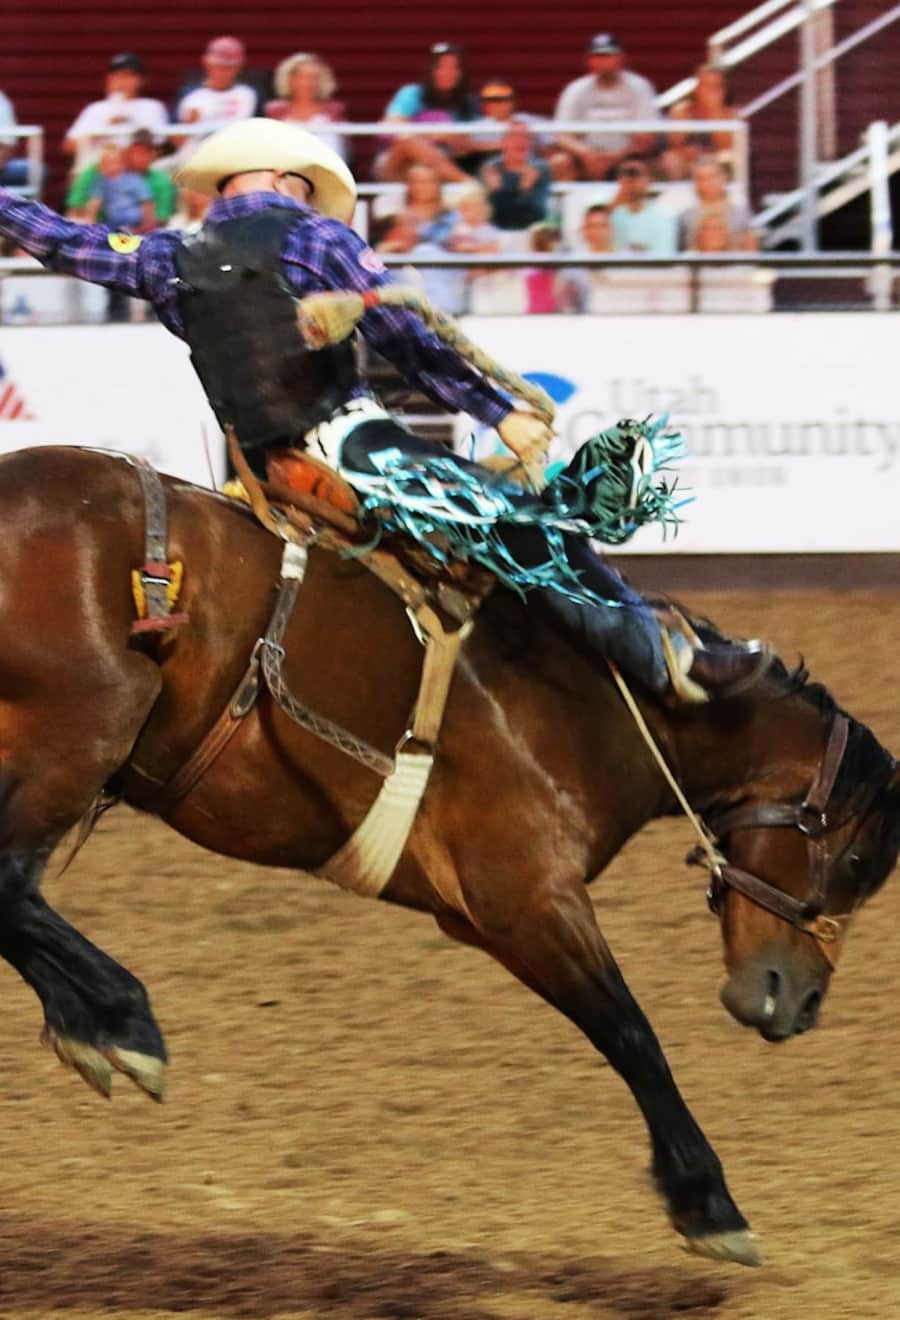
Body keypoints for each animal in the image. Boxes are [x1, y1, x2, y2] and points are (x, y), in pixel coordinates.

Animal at [0, 444, 897, 1269]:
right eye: (857, 863)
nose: (800, 1003)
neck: (603, 701)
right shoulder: (526, 900)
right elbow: (630, 1032)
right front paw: (709, 1203)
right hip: (89, 726)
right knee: (10, 884)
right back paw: (123, 1020)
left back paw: (94, 1021)